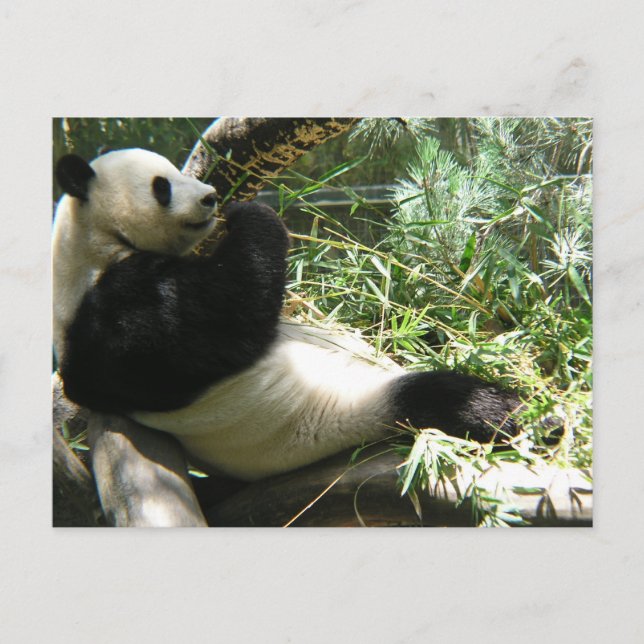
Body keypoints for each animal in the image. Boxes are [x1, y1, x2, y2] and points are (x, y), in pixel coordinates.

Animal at [53, 148, 520, 482]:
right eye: (161, 186)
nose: (211, 197)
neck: (91, 244)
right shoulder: (118, 309)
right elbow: (221, 323)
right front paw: (252, 212)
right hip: (356, 406)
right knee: (439, 397)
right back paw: (512, 410)